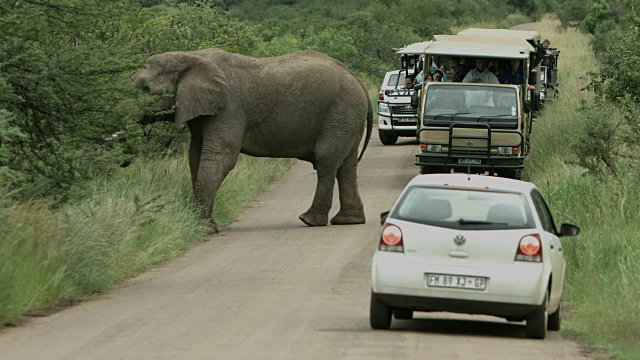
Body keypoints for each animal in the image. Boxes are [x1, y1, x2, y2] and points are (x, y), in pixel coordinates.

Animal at [132, 48, 372, 233]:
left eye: (145, 88)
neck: (191, 56)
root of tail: (356, 78)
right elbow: (195, 157)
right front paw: (201, 225)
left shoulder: (229, 108)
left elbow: (220, 157)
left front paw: (203, 229)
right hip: (347, 116)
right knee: (346, 165)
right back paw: (348, 221)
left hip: (341, 112)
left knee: (326, 160)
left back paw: (310, 221)